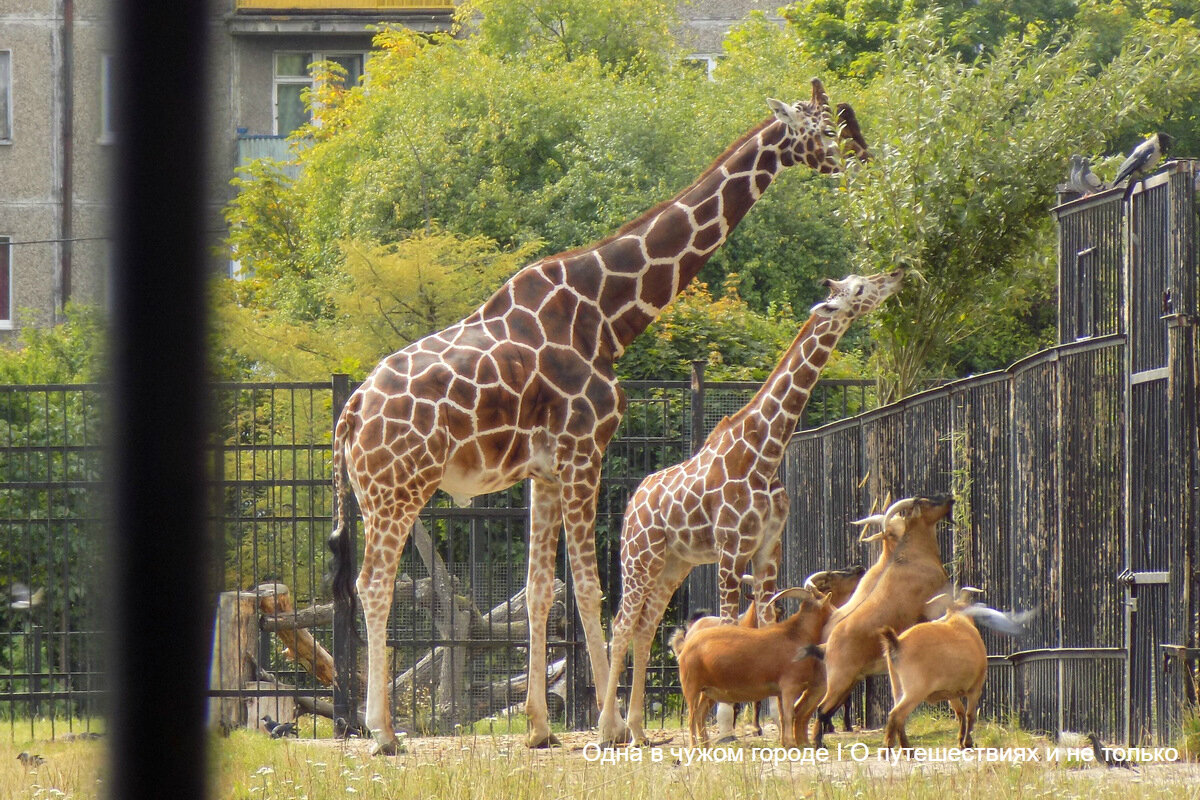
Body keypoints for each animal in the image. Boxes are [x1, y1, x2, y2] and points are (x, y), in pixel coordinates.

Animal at [676, 587, 835, 753]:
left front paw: (784, 743)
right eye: (827, 600)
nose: (836, 610)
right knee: (692, 717)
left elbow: (781, 716)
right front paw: (791, 744)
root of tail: (685, 646)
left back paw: (705, 746)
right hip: (691, 686)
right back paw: (694, 747)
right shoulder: (789, 686)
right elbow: (789, 715)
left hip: (708, 691)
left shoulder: (780, 691)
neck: (796, 635)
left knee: (700, 714)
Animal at [811, 494, 950, 753]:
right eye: (926, 501)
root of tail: (827, 643)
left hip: (847, 681)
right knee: (821, 708)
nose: (949, 498)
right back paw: (817, 743)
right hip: (839, 680)